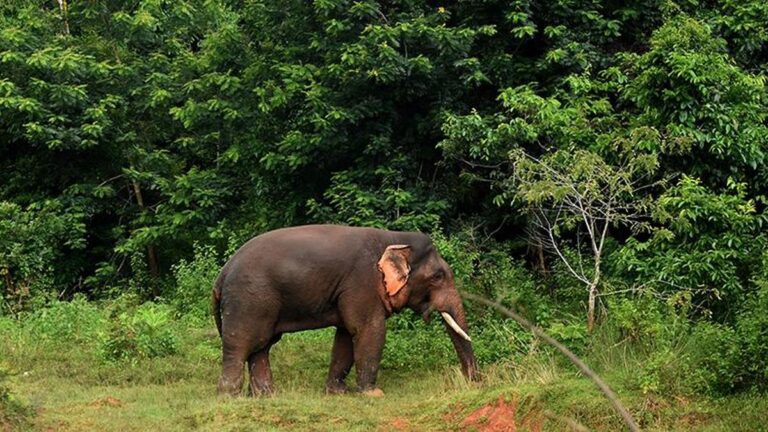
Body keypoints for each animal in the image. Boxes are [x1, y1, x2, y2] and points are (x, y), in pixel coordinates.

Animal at [212, 224, 478, 396]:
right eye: (438, 276)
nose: (474, 382)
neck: (392, 238)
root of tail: (222, 273)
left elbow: (345, 335)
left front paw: (336, 392)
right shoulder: (362, 282)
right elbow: (368, 329)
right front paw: (373, 394)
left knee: (262, 346)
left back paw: (265, 396)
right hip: (249, 300)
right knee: (242, 344)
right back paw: (230, 396)